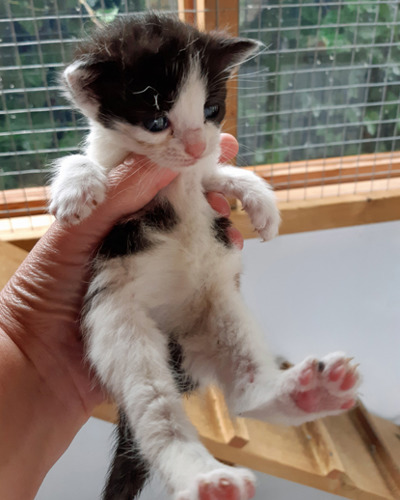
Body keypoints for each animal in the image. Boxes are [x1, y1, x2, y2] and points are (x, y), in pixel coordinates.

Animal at [49, 13, 360, 500]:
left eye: (211, 111)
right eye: (157, 120)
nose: (196, 144)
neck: (174, 176)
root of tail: (179, 344)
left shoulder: (202, 178)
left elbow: (217, 173)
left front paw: (260, 203)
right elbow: (85, 161)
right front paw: (77, 187)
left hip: (221, 302)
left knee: (246, 391)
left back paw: (306, 393)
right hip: (116, 320)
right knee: (156, 413)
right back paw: (207, 477)